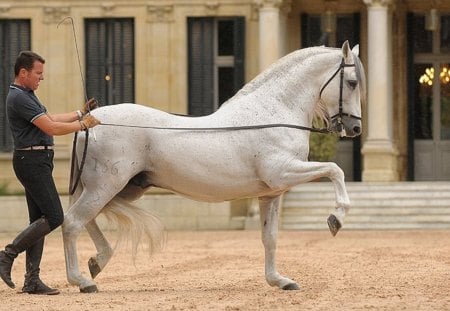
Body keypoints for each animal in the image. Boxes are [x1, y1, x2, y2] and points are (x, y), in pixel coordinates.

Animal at [63, 40, 366, 292]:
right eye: (352, 82)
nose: (355, 128)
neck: (273, 113)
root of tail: (87, 122)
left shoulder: (271, 193)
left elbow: (270, 238)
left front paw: (279, 281)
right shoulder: (283, 172)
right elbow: (334, 169)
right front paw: (336, 218)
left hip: (121, 188)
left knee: (86, 220)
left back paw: (97, 263)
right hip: (105, 186)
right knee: (73, 223)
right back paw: (82, 281)